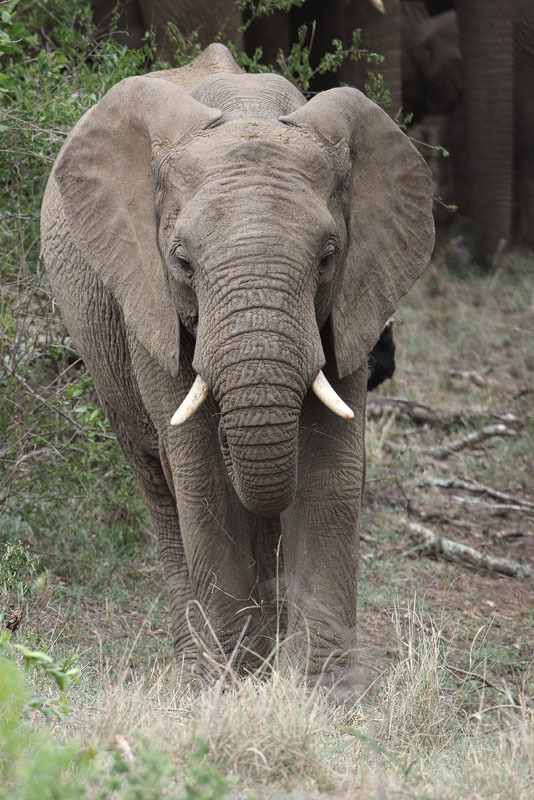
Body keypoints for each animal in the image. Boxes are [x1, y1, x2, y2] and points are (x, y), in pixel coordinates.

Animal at [42, 42, 436, 688]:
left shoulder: (357, 296)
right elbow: (199, 469)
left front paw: (323, 689)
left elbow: (331, 465)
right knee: (157, 480)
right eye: (181, 260)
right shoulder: (148, 301)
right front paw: (231, 680)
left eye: (328, 257)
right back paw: (201, 660)